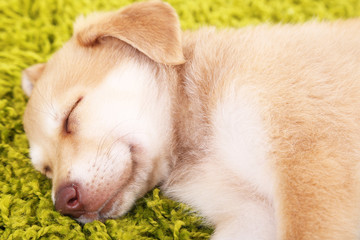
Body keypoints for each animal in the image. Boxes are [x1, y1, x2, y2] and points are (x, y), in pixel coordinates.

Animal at [21, 0, 360, 239]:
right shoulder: (252, 215)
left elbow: (305, 230)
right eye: (46, 170)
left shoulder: (308, 163)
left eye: (71, 114)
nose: (63, 202)